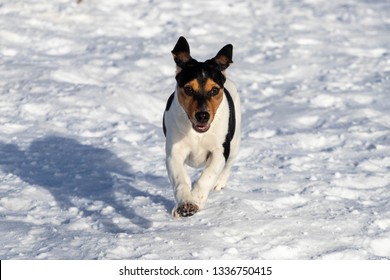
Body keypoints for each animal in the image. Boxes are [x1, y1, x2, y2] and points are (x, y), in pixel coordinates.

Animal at [162, 36, 241, 217]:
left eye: (214, 90)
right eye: (189, 89)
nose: (203, 115)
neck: (197, 132)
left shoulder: (219, 152)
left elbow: (207, 176)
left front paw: (196, 200)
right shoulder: (174, 152)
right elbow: (180, 179)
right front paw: (186, 204)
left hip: (234, 144)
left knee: (229, 164)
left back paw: (219, 183)